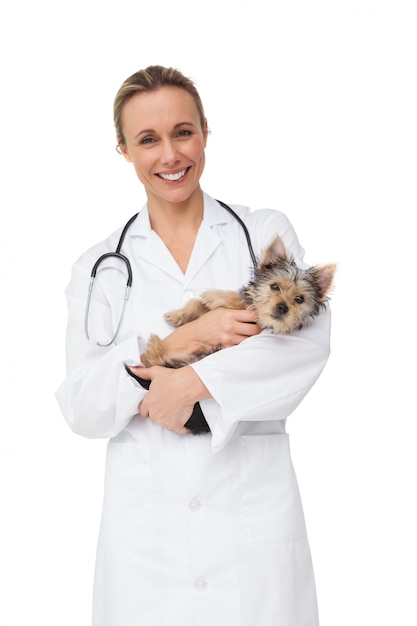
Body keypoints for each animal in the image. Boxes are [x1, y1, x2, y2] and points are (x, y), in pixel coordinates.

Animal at [141, 235, 336, 370]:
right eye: (274, 287)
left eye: (300, 299)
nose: (282, 307)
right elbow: (198, 304)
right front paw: (178, 314)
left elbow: (236, 300)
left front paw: (213, 294)